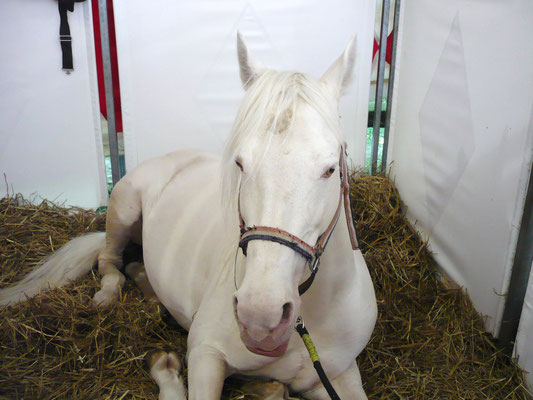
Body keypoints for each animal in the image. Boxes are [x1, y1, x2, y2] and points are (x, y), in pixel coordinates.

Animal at [0, 35, 376, 400]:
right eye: (240, 163)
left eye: (330, 168)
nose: (261, 316)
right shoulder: (205, 355)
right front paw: (166, 369)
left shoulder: (338, 374)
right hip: (123, 209)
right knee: (110, 261)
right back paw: (106, 296)